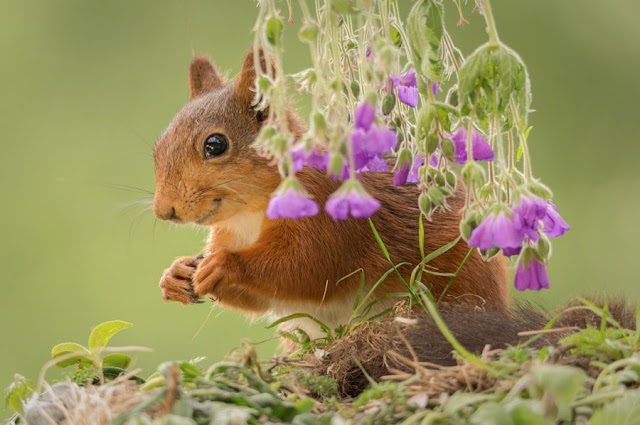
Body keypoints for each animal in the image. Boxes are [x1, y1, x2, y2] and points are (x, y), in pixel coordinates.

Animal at [152, 51, 508, 336]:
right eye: (158, 148)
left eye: (215, 145)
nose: (163, 211)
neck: (247, 215)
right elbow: (262, 298)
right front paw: (174, 275)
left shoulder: (327, 215)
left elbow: (308, 268)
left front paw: (225, 265)